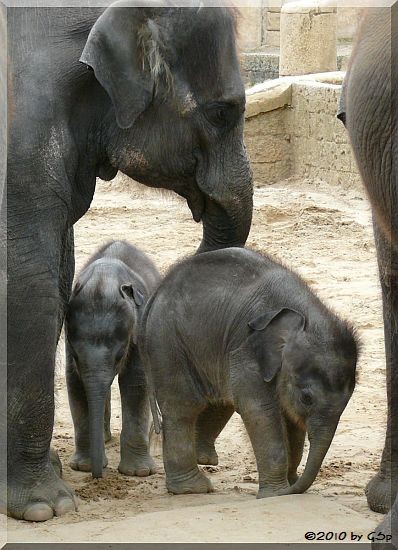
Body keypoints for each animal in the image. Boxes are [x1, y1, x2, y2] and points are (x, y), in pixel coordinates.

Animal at [65, 240, 160, 478]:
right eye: (77, 356)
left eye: (119, 357)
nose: (98, 476)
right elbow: (75, 382)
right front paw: (83, 467)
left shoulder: (137, 331)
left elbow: (135, 382)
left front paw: (138, 473)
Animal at [141, 250, 360, 500]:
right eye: (307, 398)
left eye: (347, 401)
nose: (293, 489)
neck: (303, 317)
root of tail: (158, 290)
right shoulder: (246, 351)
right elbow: (259, 410)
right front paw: (276, 495)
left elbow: (291, 420)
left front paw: (288, 485)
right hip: (167, 343)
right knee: (183, 407)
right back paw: (193, 489)